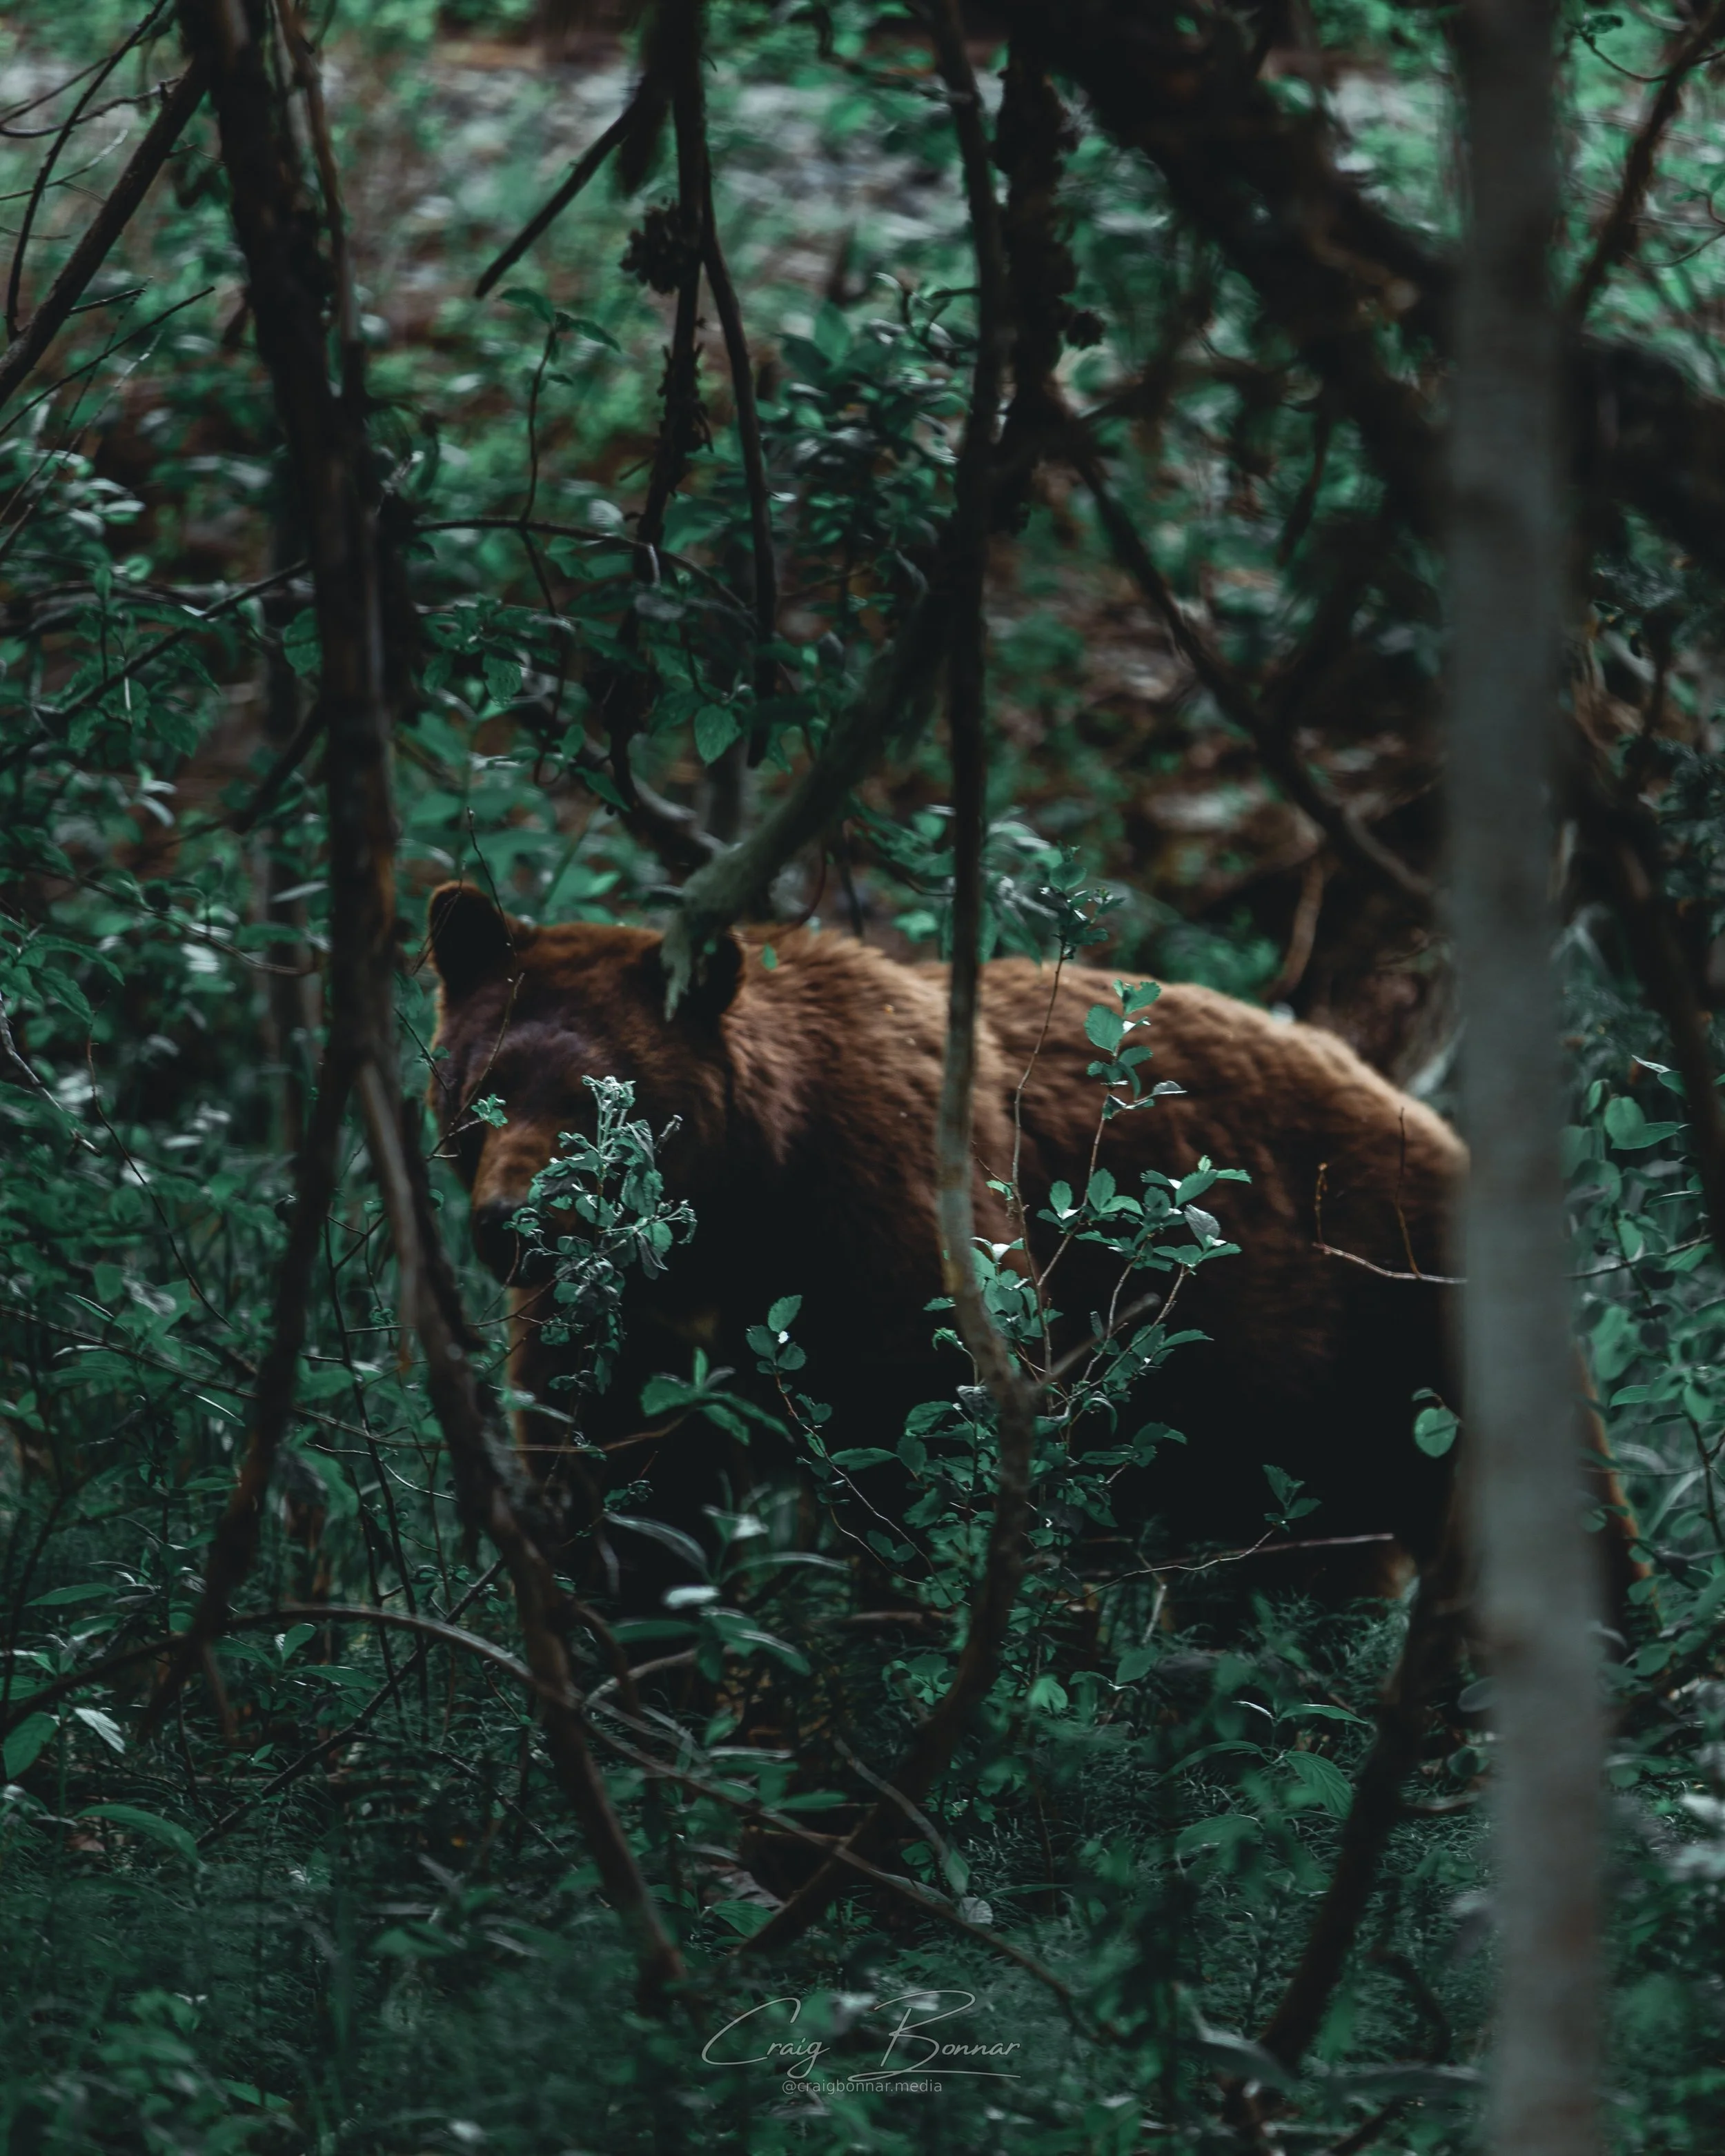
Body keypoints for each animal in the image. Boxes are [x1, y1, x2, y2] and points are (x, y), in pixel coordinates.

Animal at [424, 881, 1475, 1603]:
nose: (511, 1224)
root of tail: (1422, 1114)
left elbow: (926, 1449)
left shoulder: (891, 1223)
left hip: (1389, 1332)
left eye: (598, 1100)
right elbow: (615, 1488)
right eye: (483, 1087)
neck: (738, 1211)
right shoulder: (624, 1323)